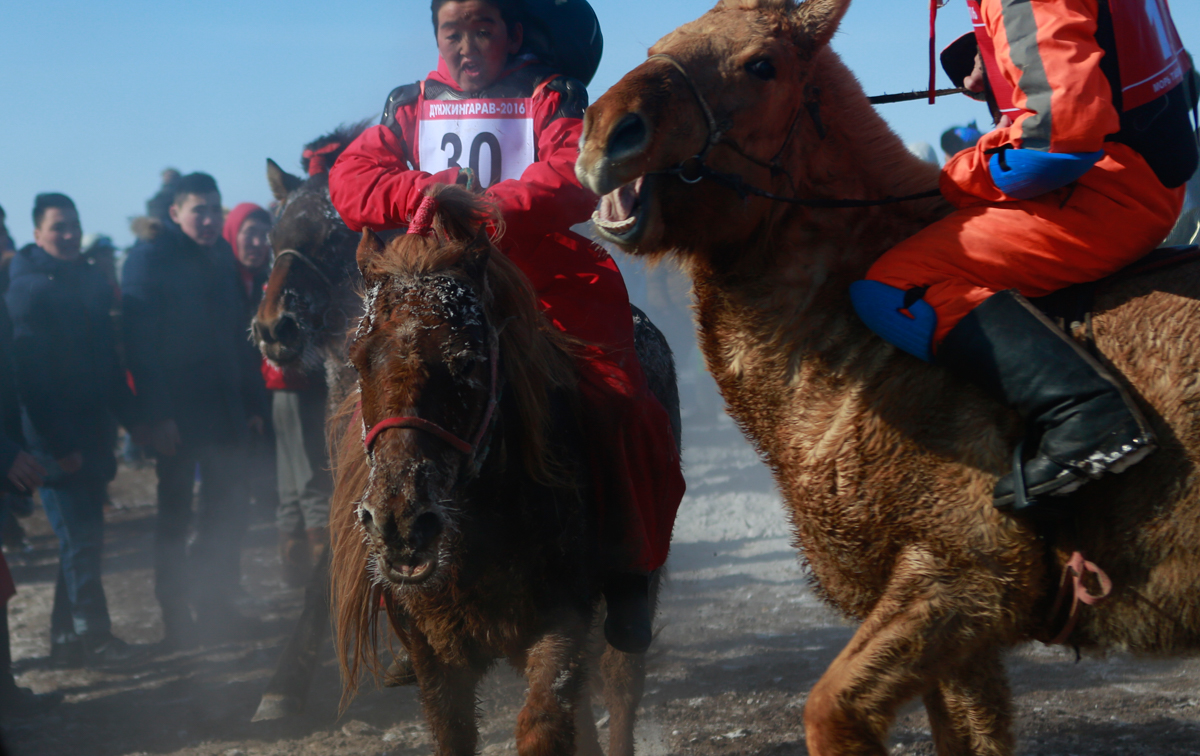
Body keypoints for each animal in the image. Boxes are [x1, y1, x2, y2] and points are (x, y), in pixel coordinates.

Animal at [575, 1, 1200, 754]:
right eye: (656, 46)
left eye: (762, 65)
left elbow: (832, 711)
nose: (605, 133)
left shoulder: (962, 577)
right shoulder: (956, 639)